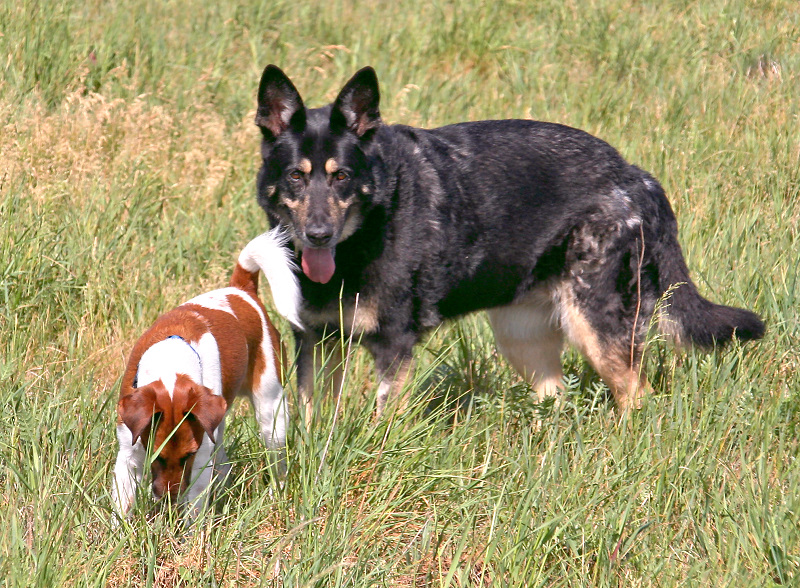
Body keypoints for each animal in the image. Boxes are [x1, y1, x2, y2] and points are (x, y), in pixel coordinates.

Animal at [111, 227, 302, 520]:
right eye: (157, 456)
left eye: (187, 456)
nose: (170, 499)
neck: (171, 363)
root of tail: (241, 290)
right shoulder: (128, 454)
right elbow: (122, 506)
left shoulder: (201, 456)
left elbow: (195, 506)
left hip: (272, 414)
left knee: (277, 462)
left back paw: (276, 494)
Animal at [253, 65, 764, 418]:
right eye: (296, 176)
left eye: (340, 176)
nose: (318, 235)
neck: (365, 232)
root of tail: (635, 175)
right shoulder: (315, 342)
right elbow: (314, 418)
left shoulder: (394, 347)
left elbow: (381, 425)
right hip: (521, 337)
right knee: (556, 398)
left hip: (596, 328)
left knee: (638, 396)